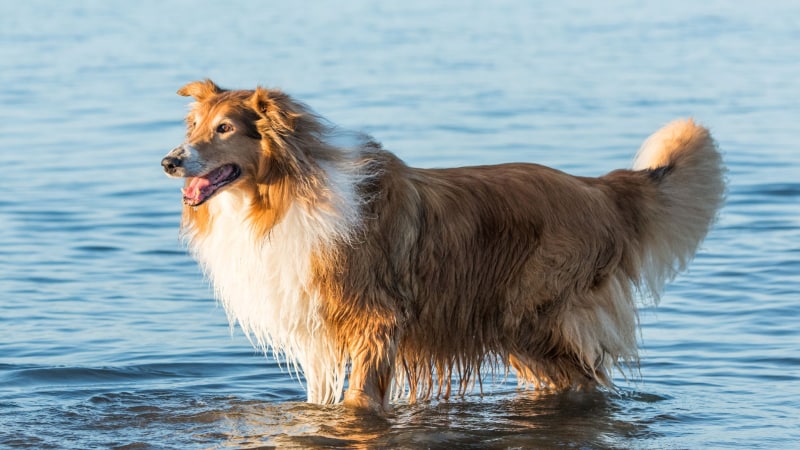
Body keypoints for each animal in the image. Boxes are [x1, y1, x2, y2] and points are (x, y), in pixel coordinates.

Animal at [162, 78, 724, 412]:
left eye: (225, 128)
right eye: (193, 126)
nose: (169, 161)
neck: (283, 194)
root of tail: (596, 188)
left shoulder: (375, 319)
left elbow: (360, 398)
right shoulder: (320, 333)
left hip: (529, 318)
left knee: (585, 381)